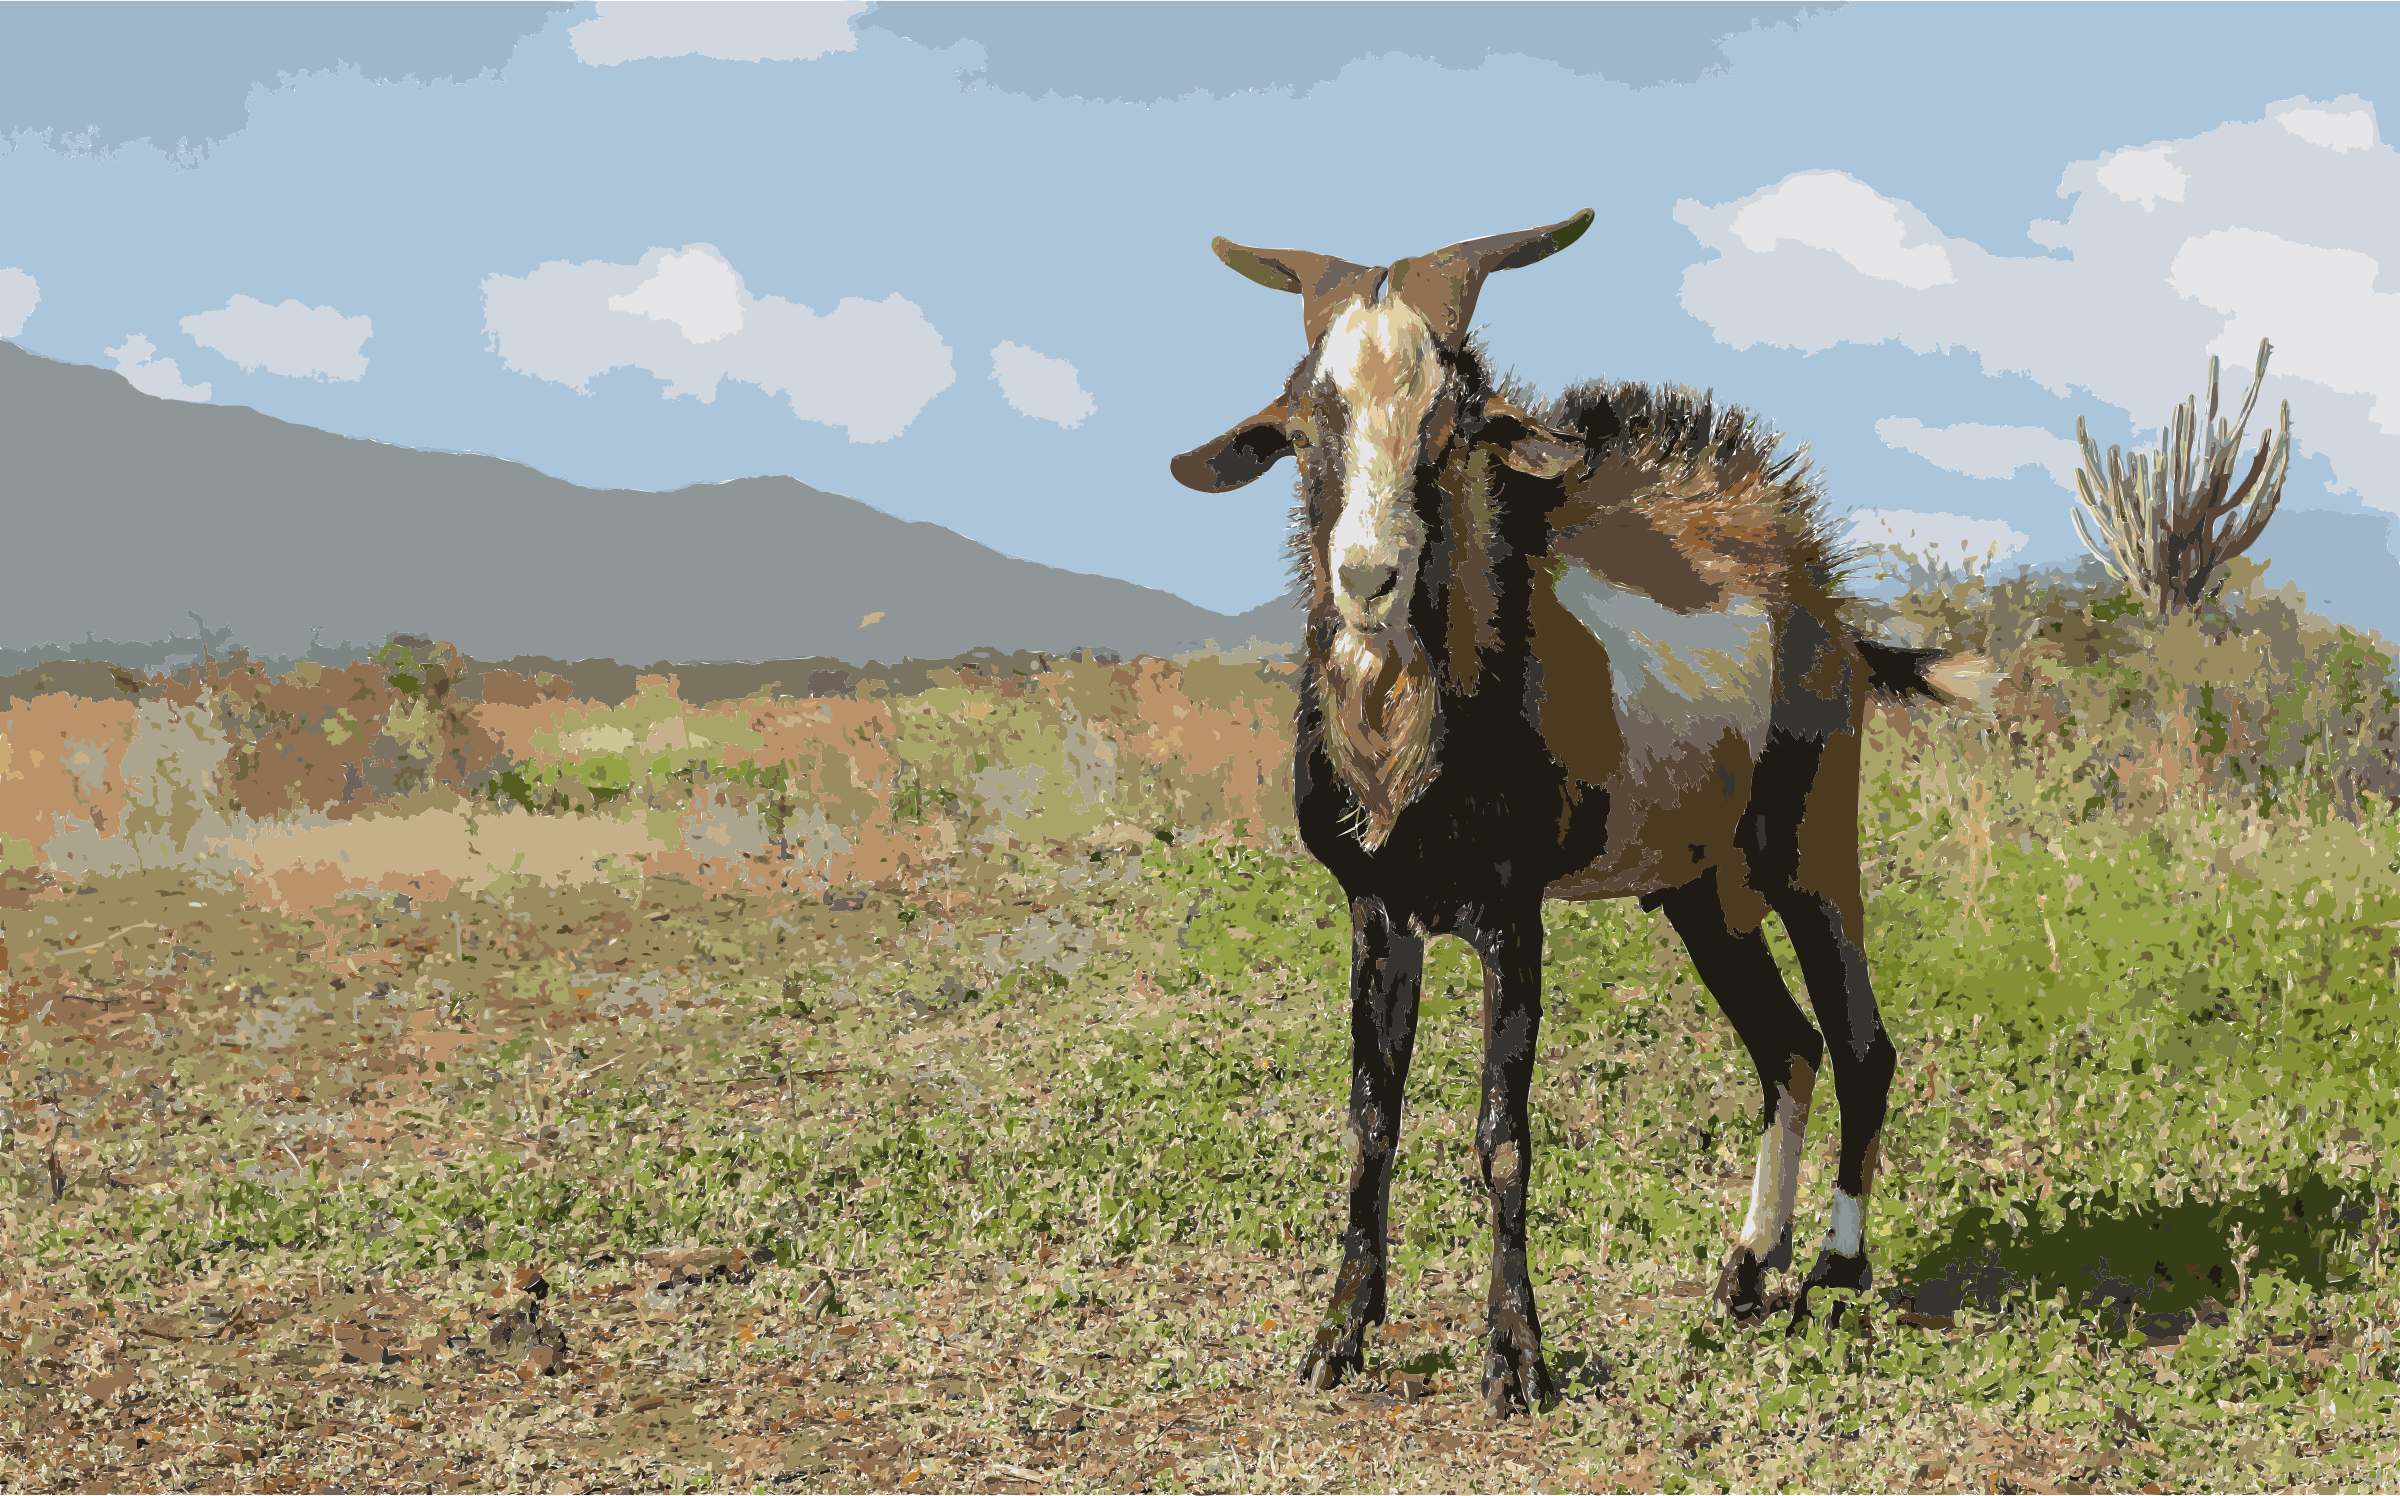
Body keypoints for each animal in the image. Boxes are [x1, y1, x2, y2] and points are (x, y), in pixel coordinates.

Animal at [1168, 209, 1993, 1417]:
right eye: (1305, 424)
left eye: (1454, 427)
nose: (1367, 581)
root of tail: (1827, 602)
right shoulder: (1379, 910)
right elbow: (1371, 1123)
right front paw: (1338, 1336)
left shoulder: (1513, 914)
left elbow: (1501, 1133)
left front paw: (1516, 1357)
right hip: (1703, 891)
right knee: (1787, 1046)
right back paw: (1746, 1269)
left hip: (1810, 844)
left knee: (1859, 1040)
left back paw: (1836, 1275)